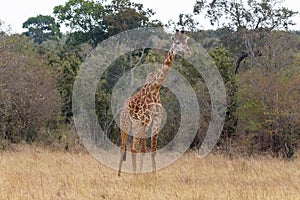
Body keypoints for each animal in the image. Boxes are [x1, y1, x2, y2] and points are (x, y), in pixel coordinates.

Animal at [117, 28, 190, 176]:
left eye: (186, 42)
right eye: (177, 42)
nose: (188, 51)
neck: (156, 87)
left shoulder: (157, 118)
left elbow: (152, 150)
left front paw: (154, 175)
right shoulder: (146, 120)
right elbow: (143, 149)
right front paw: (141, 175)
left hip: (136, 126)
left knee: (133, 148)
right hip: (126, 124)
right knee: (125, 148)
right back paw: (120, 175)